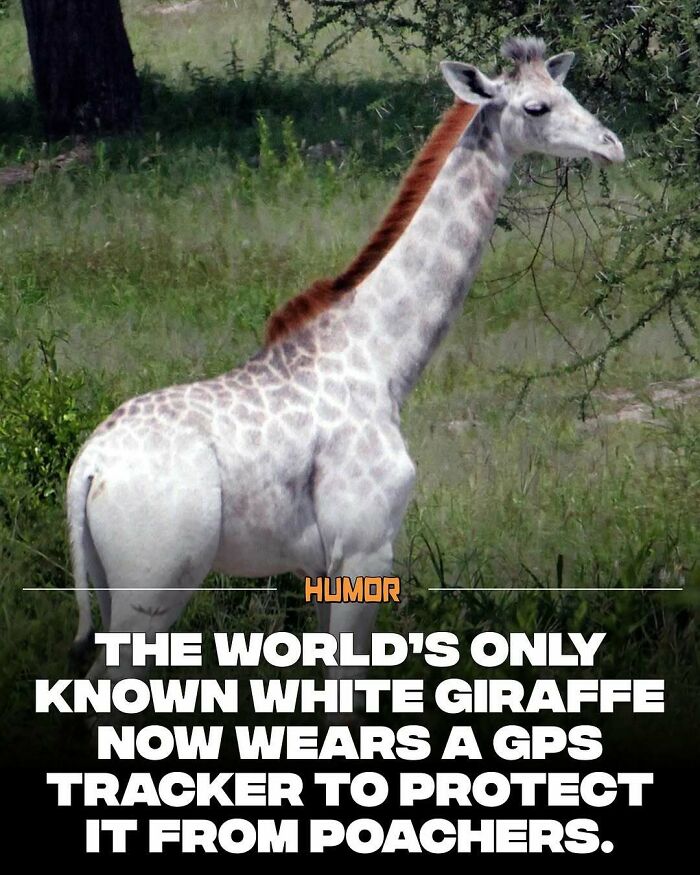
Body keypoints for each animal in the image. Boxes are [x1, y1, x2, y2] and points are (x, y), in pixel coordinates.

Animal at [67, 37, 624, 684]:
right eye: (537, 107)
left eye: (568, 91)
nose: (612, 144)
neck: (381, 360)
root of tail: (87, 471)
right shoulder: (365, 546)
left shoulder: (320, 566)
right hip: (155, 586)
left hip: (114, 587)